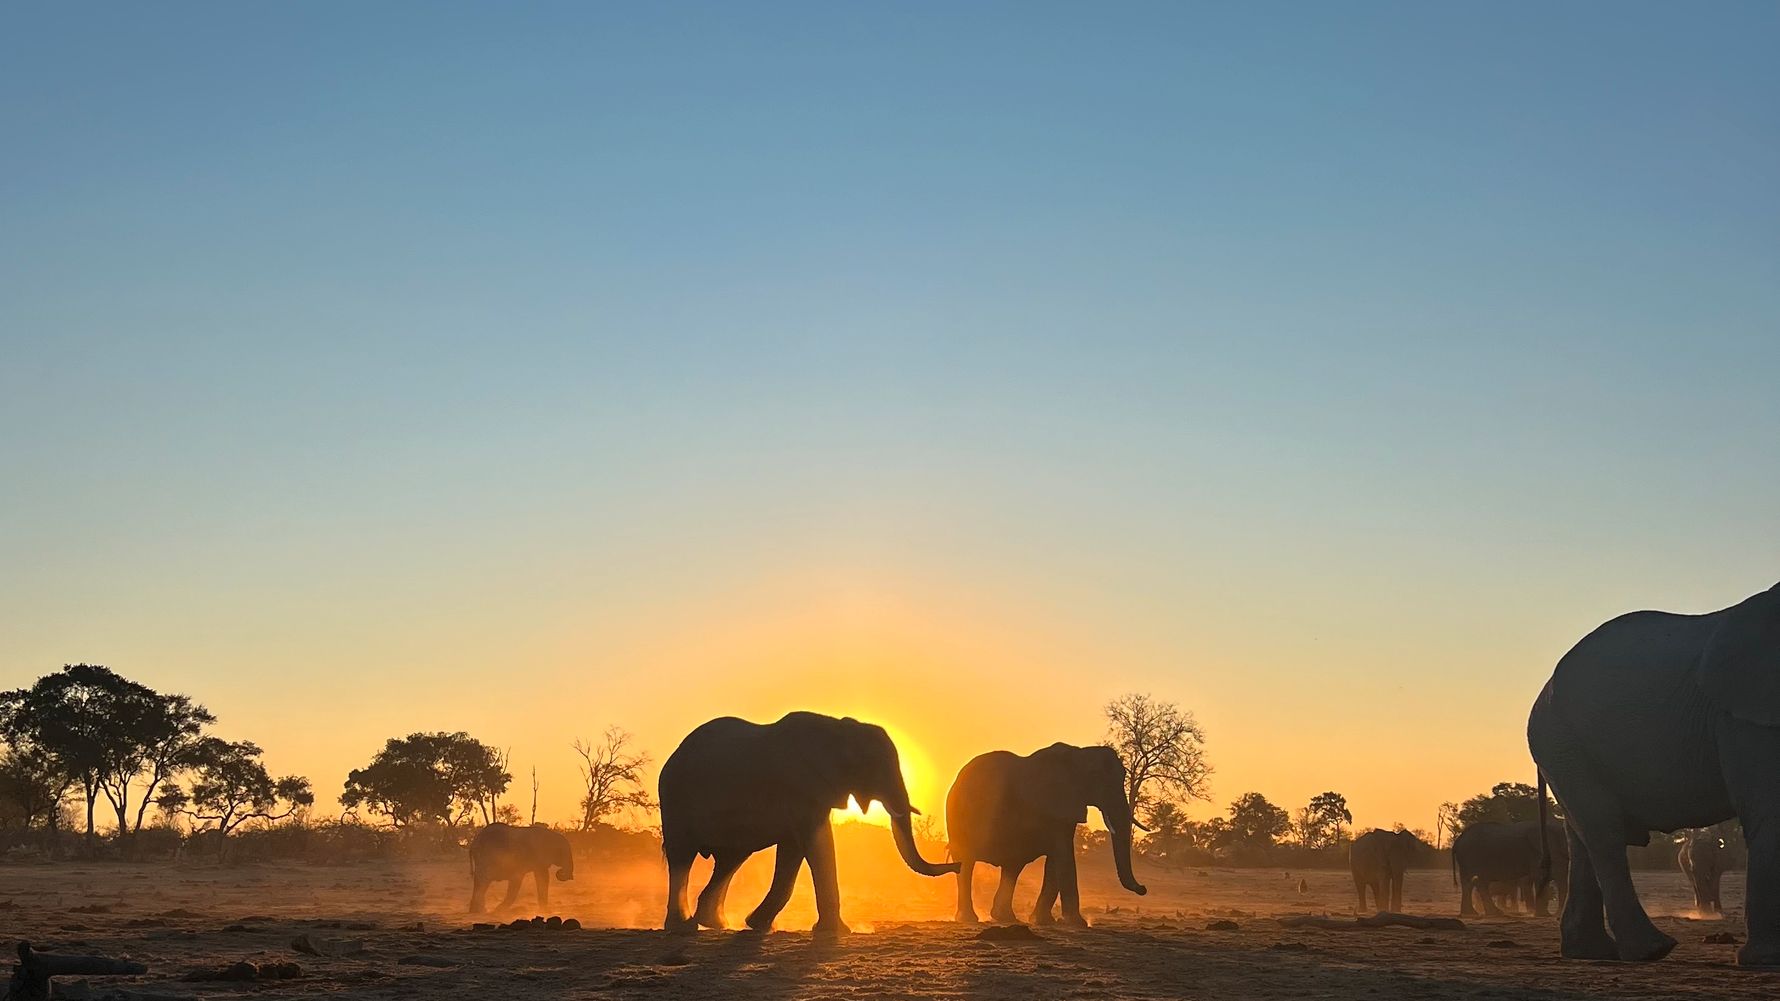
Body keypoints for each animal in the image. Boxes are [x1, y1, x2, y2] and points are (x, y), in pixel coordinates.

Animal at [657, 711, 957, 936]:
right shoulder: (800, 786)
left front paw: (758, 925)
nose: (959, 865)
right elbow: (815, 844)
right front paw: (836, 932)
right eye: (873, 766)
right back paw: (682, 927)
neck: (838, 728)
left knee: (730, 860)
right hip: (675, 798)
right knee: (682, 857)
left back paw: (716, 924)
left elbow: (793, 849)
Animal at [943, 743, 1147, 926]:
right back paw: (969, 919)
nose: (1143, 889)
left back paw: (1005, 918)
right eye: (1096, 778)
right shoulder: (1055, 803)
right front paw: (1076, 923)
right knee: (966, 863)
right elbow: (1063, 855)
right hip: (957, 818)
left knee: (1012, 867)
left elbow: (1056, 859)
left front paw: (1044, 921)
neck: (1079, 754)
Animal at [1526, 581, 1780, 965]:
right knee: (1603, 831)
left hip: (1565, 748)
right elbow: (1769, 810)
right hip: (1562, 741)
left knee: (1582, 835)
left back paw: (1592, 952)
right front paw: (1766, 961)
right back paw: (1652, 950)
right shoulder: (1744, 712)